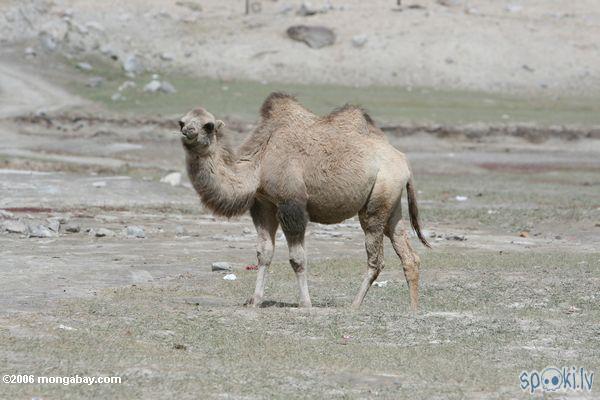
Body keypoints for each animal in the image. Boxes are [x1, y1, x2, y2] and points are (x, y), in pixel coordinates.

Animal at [178, 93, 432, 310]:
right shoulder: (264, 204)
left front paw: (306, 303)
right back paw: (413, 309)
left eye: (208, 125)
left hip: (377, 200)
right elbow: (264, 253)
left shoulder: (291, 203)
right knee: (408, 254)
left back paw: (354, 305)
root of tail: (403, 161)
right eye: (181, 122)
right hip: (392, 203)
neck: (260, 160)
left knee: (375, 257)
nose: (188, 131)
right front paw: (255, 300)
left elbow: (297, 258)